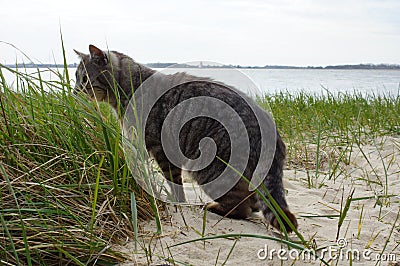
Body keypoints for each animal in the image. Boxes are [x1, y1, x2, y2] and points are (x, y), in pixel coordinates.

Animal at [74, 44, 296, 232]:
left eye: (84, 79)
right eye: (76, 78)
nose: (74, 91)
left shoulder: (161, 149)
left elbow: (174, 182)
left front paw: (176, 202)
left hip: (210, 168)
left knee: (242, 206)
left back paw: (216, 207)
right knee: (251, 200)